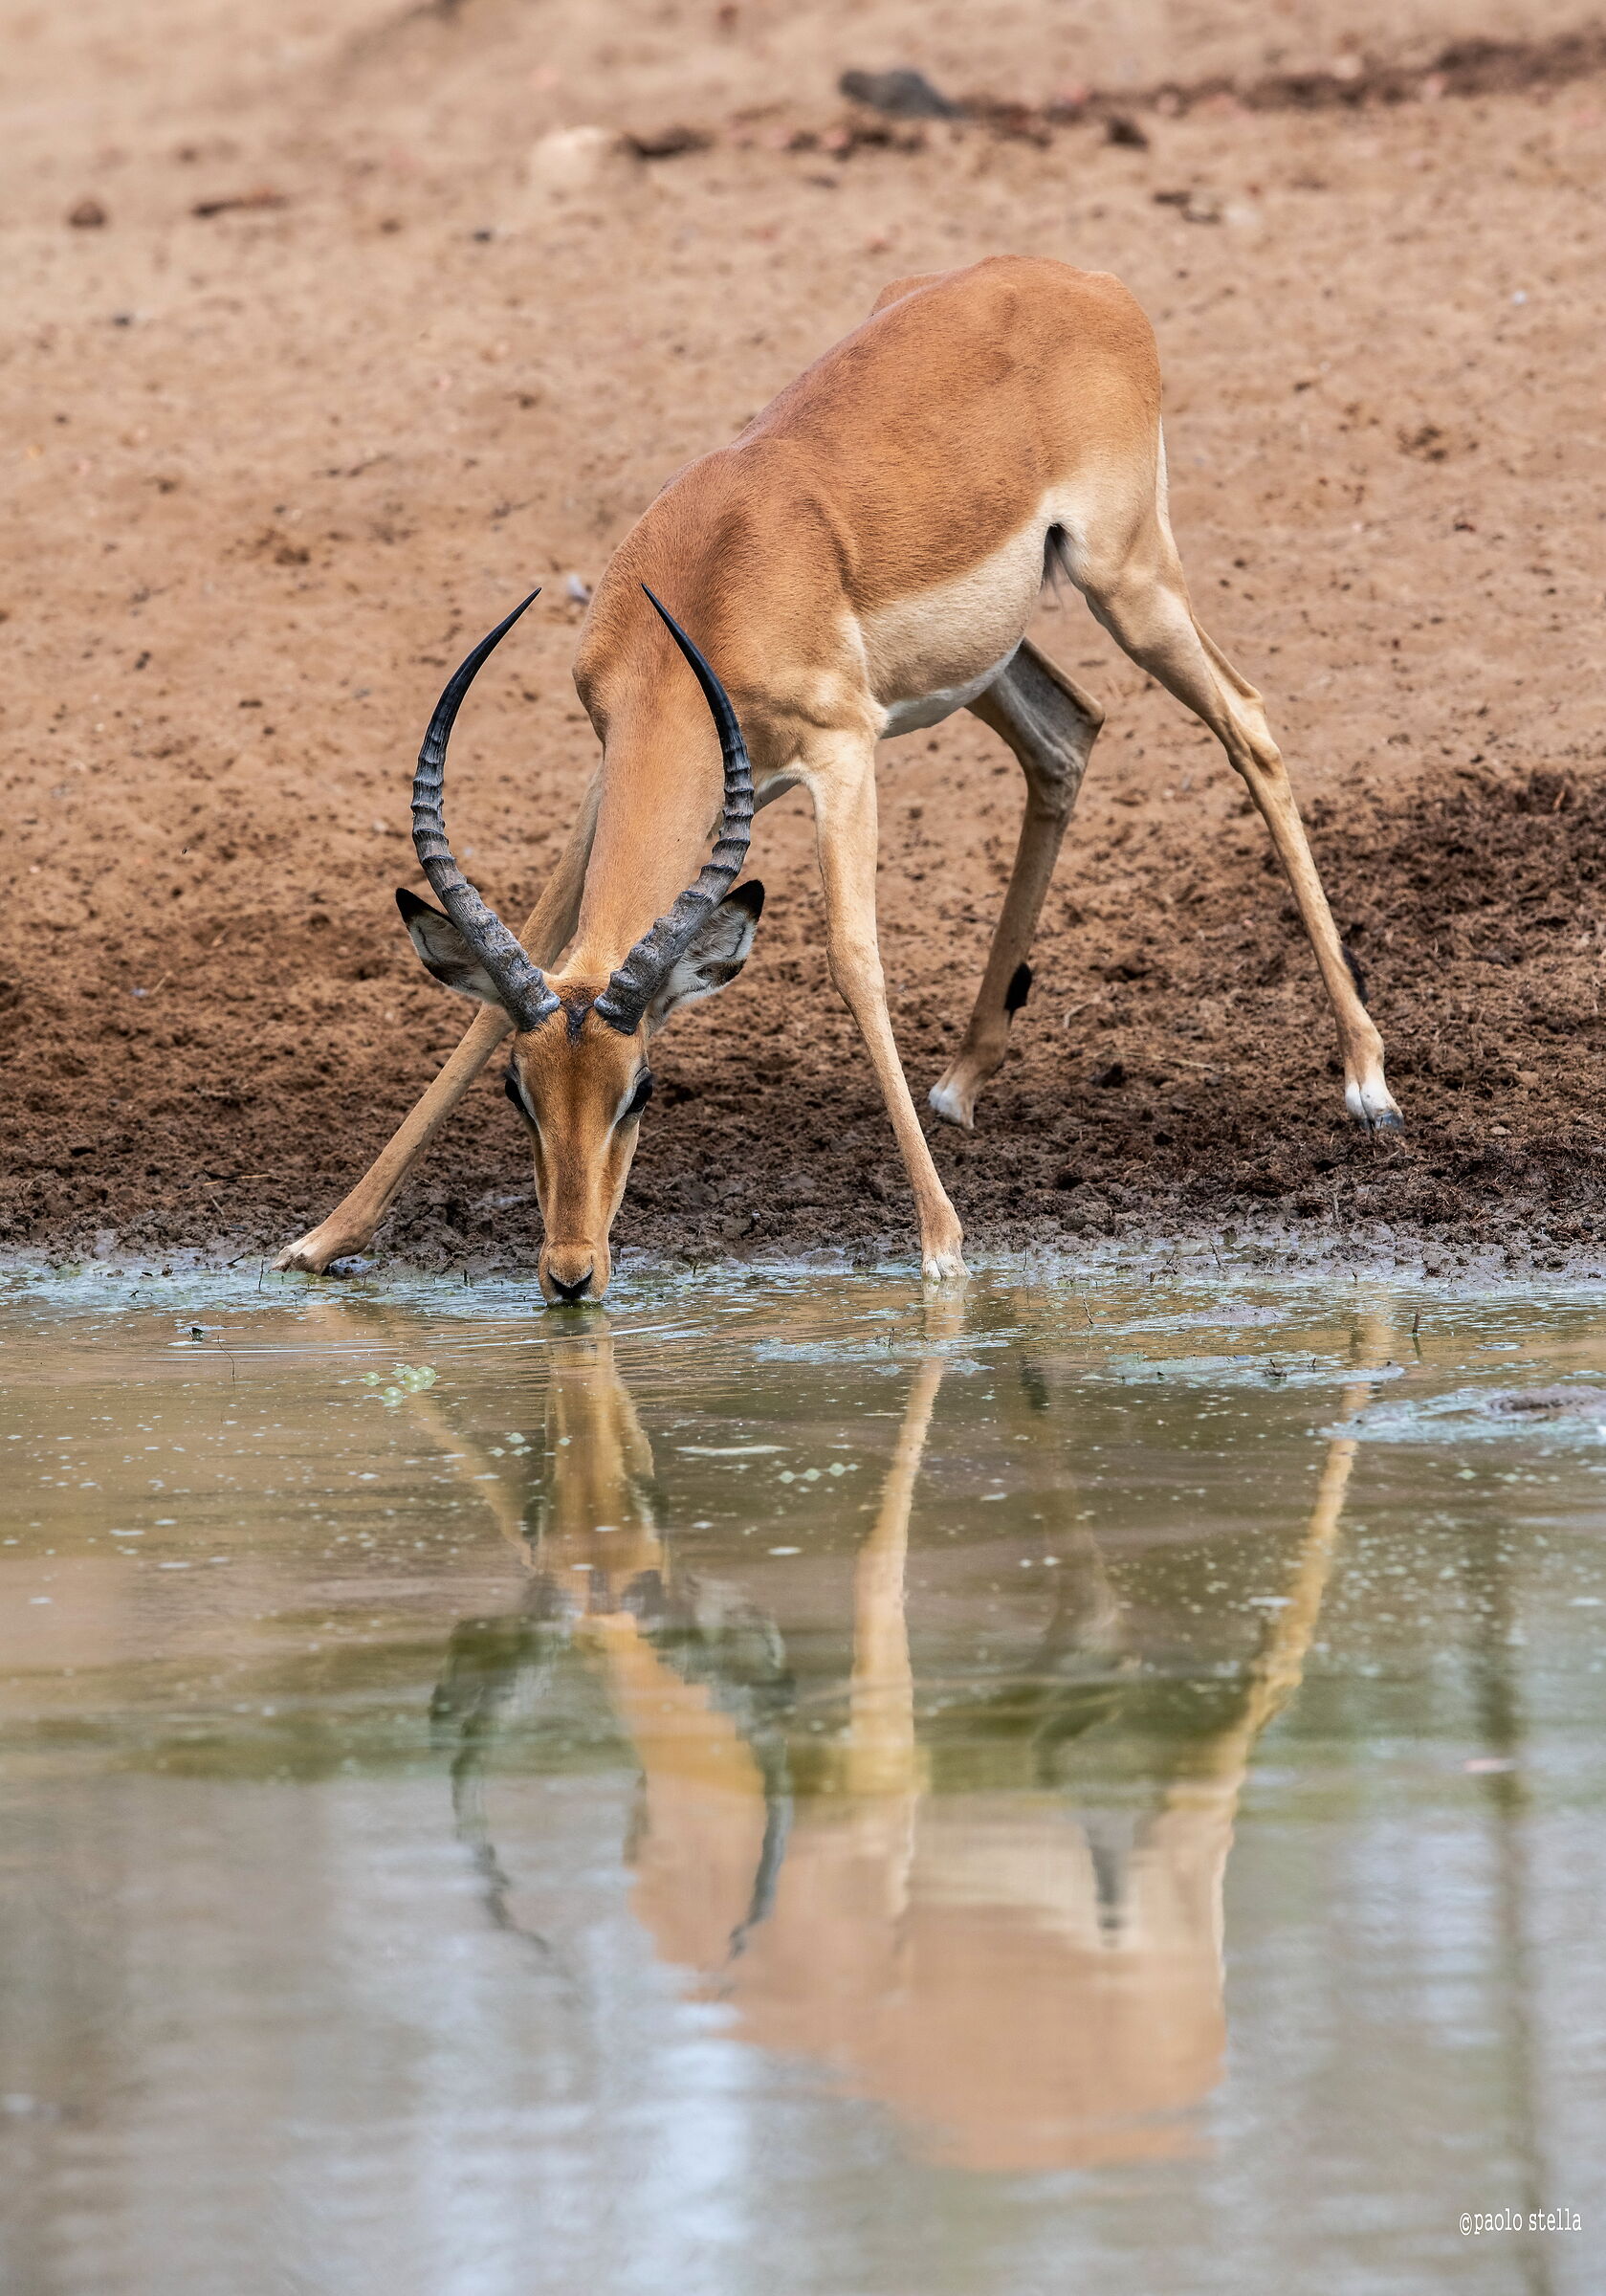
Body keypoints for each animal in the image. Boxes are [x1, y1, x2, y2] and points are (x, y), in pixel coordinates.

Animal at [277, 254, 1400, 1301]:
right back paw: (961, 1080)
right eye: (522, 1091)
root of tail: (1080, 280)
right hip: (988, 661)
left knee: (1247, 724)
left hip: (1127, 581)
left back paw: (1366, 1082)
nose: (570, 1275)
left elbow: (855, 958)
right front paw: (323, 1239)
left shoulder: (842, 754)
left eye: (642, 1090)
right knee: (1066, 736)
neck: (711, 581)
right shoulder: (609, 767)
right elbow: (520, 962)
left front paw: (942, 1245)